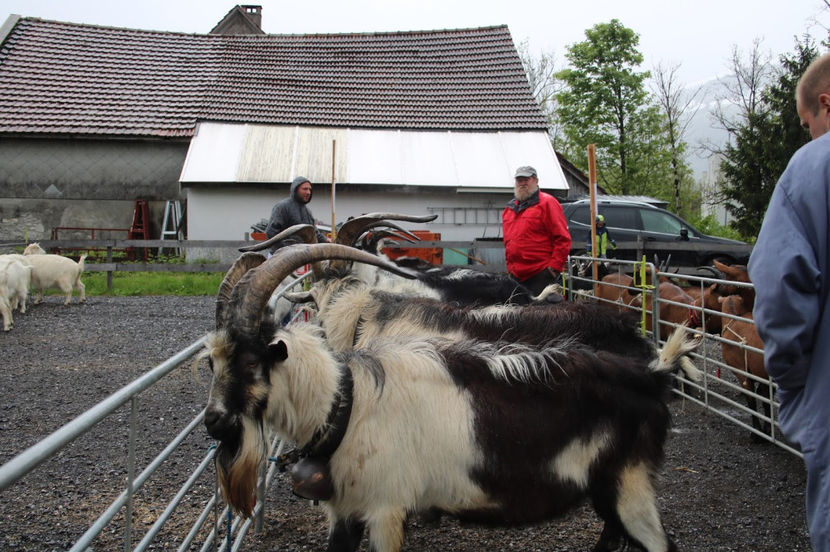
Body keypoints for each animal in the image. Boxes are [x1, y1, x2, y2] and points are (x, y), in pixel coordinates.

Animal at [205, 246, 700, 552]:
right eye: (212, 362)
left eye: (250, 361)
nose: (213, 421)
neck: (347, 400)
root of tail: (652, 371)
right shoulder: (345, 512)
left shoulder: (385, 509)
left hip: (630, 487)